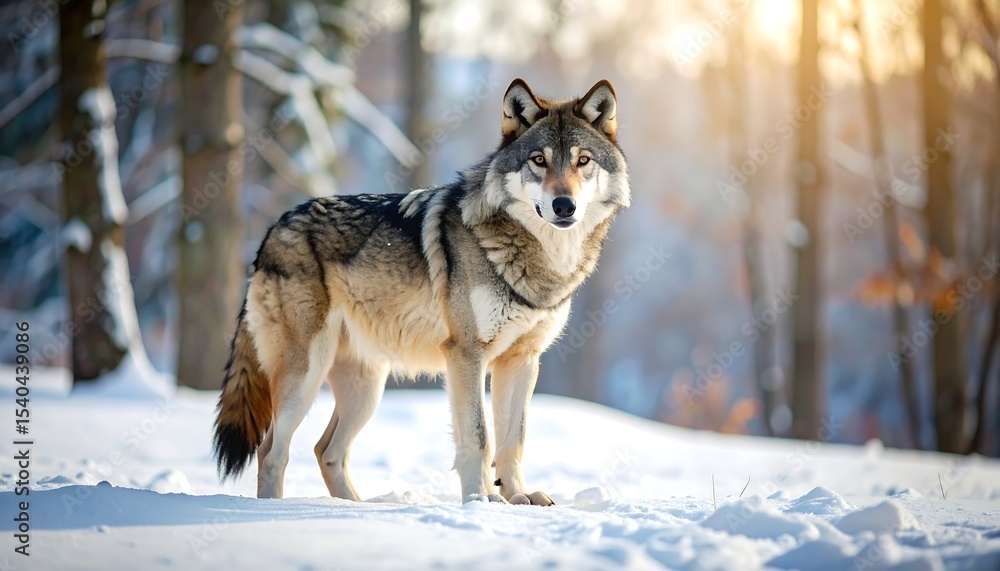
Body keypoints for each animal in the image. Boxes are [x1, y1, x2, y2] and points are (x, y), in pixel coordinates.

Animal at [213, 78, 630, 505]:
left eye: (582, 161)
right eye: (539, 160)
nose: (564, 205)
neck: (538, 257)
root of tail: (273, 227)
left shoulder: (522, 360)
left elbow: (514, 440)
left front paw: (517, 498)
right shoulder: (466, 354)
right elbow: (479, 438)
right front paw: (480, 500)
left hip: (367, 388)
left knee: (326, 451)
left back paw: (358, 508)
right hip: (306, 374)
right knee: (272, 451)